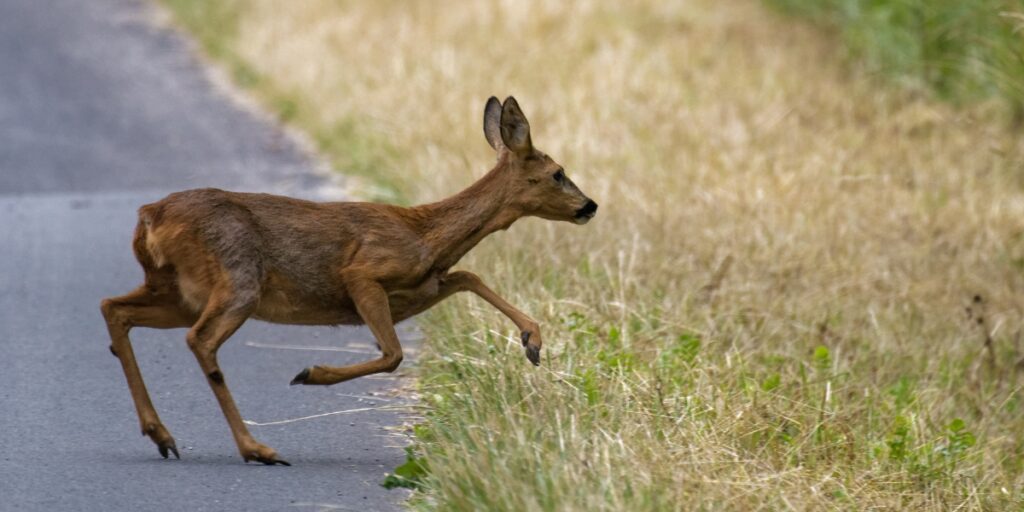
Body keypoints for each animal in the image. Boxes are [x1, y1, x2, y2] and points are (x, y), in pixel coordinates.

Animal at [99, 95, 598, 464]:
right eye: (557, 173)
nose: (590, 205)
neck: (426, 235)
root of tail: (150, 215)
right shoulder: (363, 273)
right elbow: (393, 353)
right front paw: (311, 373)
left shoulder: (422, 288)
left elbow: (468, 275)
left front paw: (532, 340)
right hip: (237, 281)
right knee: (199, 340)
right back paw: (256, 448)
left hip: (177, 290)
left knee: (115, 308)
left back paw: (161, 435)